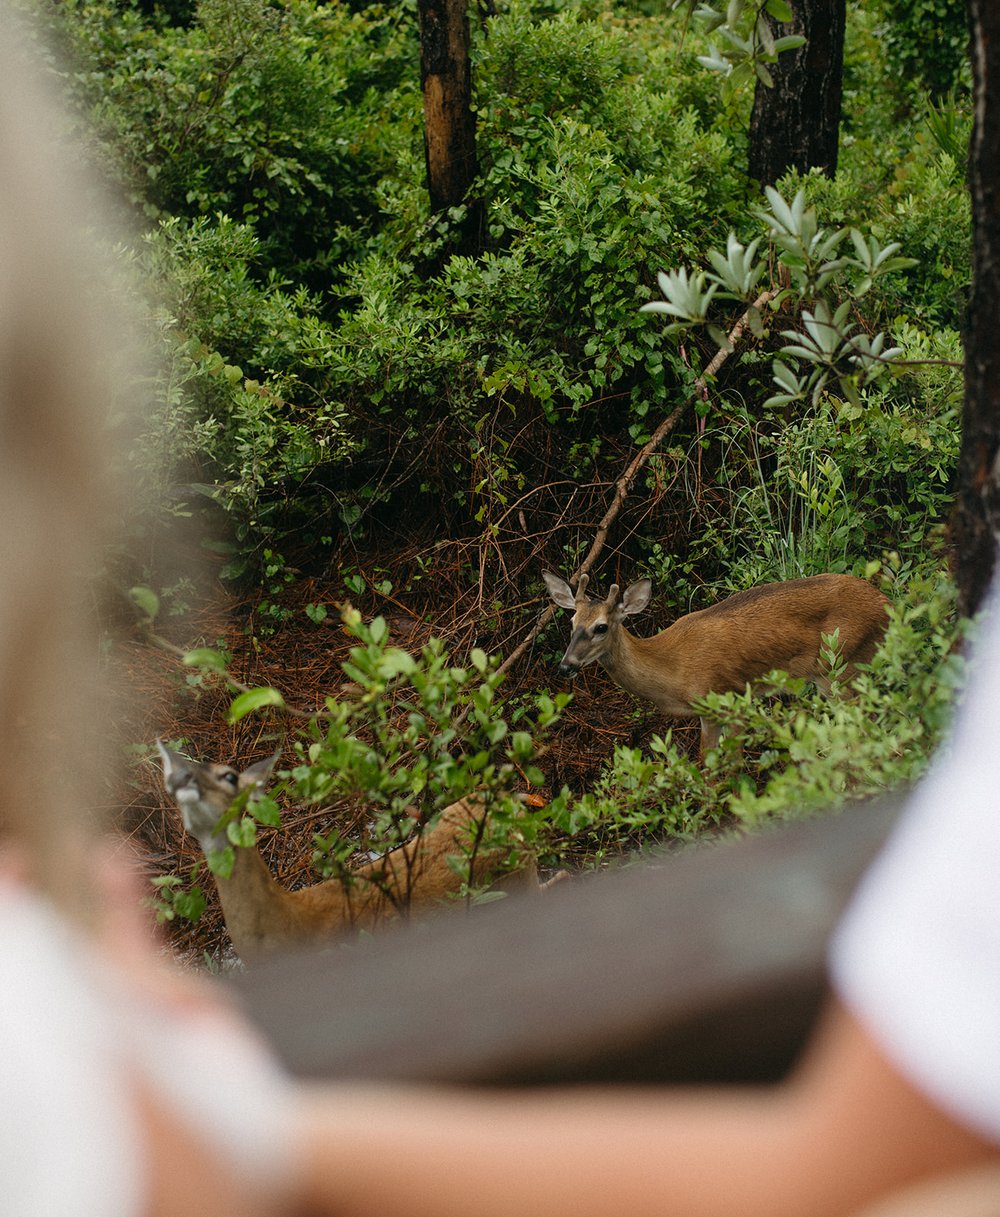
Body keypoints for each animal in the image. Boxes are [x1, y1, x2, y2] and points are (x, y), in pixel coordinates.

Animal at [547, 567, 890, 754]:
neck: (674, 668)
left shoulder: (731, 697)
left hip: (841, 667)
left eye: (601, 627)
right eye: (571, 621)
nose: (565, 666)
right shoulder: (707, 712)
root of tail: (887, 604)